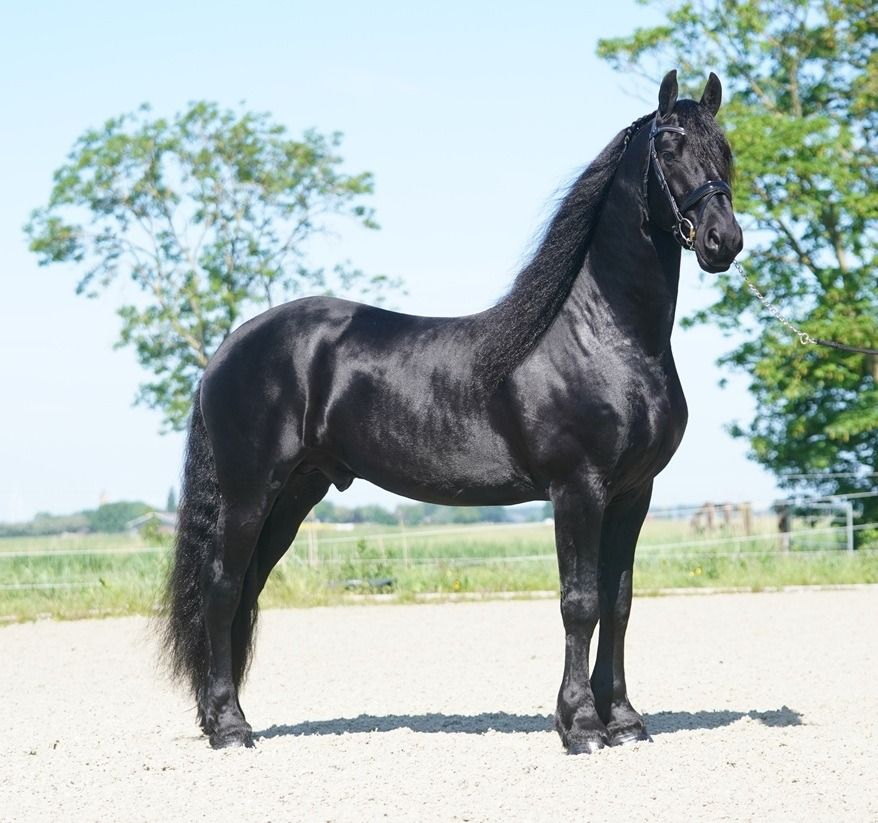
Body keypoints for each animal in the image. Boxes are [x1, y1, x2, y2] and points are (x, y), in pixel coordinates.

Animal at [162, 70, 743, 753]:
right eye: (670, 145)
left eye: (725, 149)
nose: (723, 241)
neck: (604, 334)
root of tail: (229, 347)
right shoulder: (578, 489)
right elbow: (580, 603)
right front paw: (579, 726)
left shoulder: (633, 493)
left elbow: (619, 603)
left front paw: (623, 720)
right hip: (251, 490)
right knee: (223, 590)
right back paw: (230, 727)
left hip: (295, 493)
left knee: (245, 591)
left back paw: (219, 717)